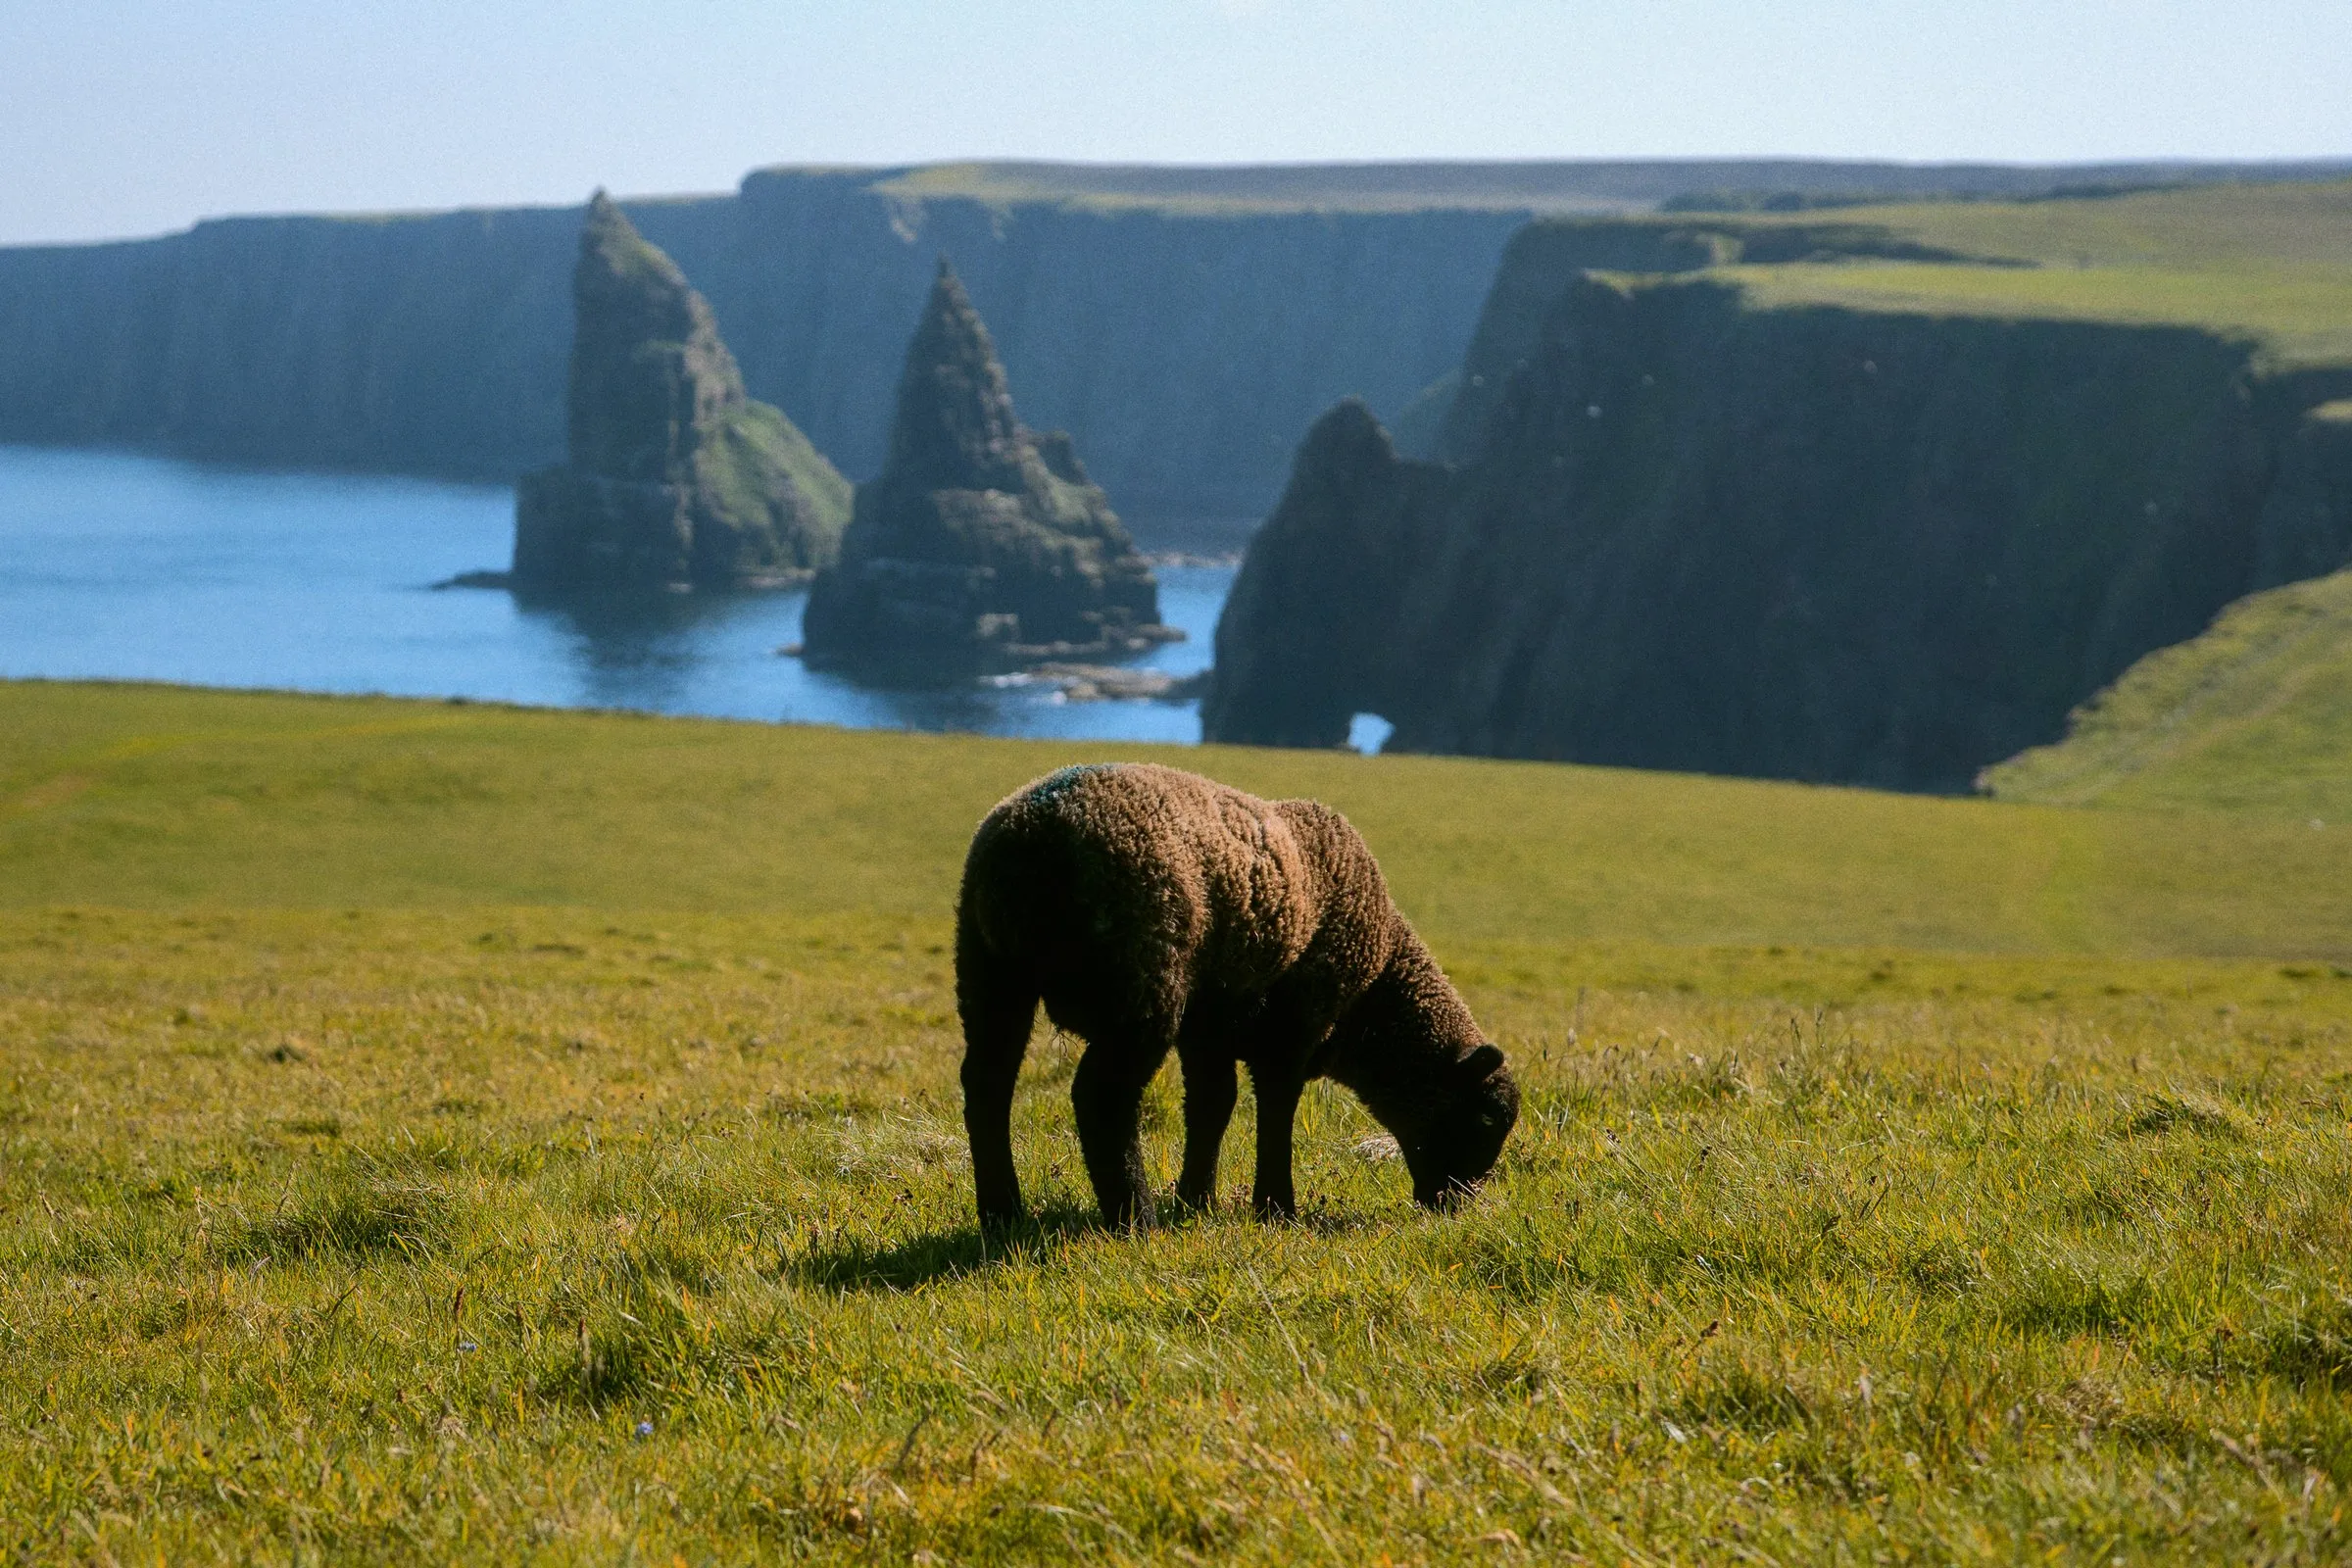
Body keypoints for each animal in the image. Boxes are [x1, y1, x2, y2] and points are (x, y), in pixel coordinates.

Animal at [956, 762, 1519, 1228]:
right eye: (1486, 1117)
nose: (1457, 1204)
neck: (1372, 998)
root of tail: (1031, 842)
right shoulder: (1295, 1026)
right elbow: (1276, 1109)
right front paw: (1276, 1208)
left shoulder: (1210, 1029)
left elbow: (1213, 1104)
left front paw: (1196, 1200)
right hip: (1143, 983)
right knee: (1102, 1096)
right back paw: (1134, 1219)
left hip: (989, 974)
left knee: (987, 1083)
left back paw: (1002, 1212)